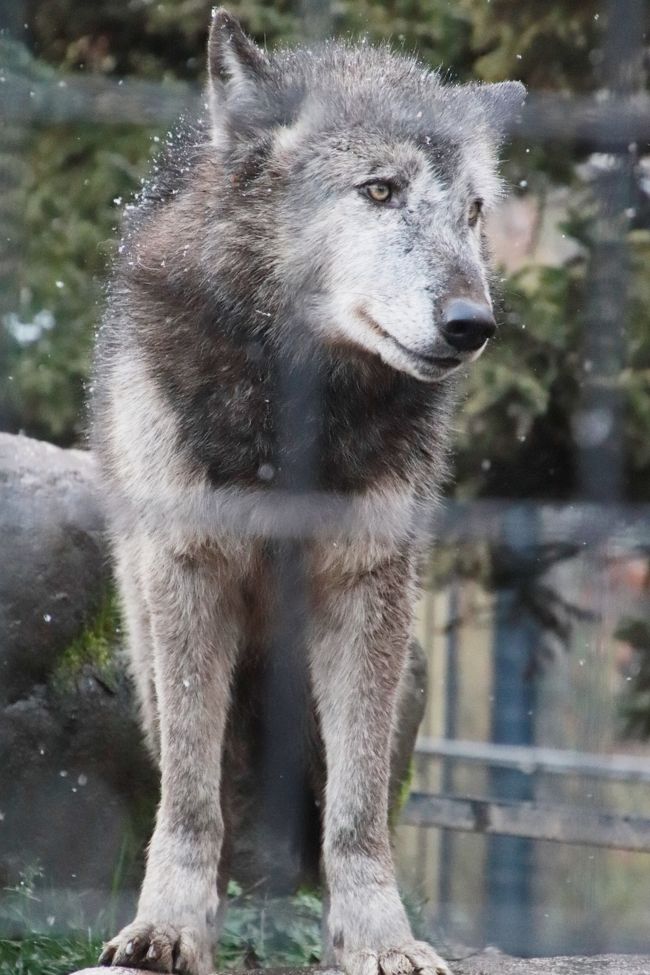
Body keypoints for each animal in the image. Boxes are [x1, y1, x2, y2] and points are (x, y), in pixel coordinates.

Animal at [93, 9, 524, 975]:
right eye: (380, 191)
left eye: (473, 211)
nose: (472, 324)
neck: (297, 413)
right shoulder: (190, 571)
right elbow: (190, 801)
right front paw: (168, 927)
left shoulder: (367, 583)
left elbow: (358, 818)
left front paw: (381, 940)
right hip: (145, 646)